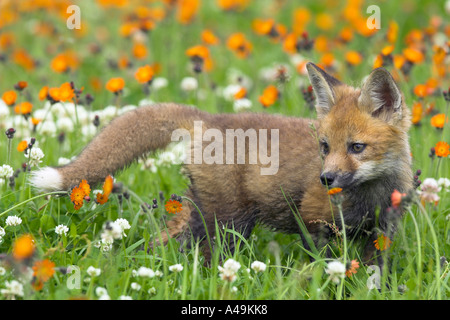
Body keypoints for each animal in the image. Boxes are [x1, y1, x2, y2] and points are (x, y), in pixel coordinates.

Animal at [30, 62, 412, 264]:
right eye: (324, 146)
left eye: (357, 147)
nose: (326, 178)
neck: (371, 197)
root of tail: (210, 118)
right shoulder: (315, 224)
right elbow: (323, 268)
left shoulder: (382, 234)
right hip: (227, 221)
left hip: (200, 213)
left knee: (162, 240)